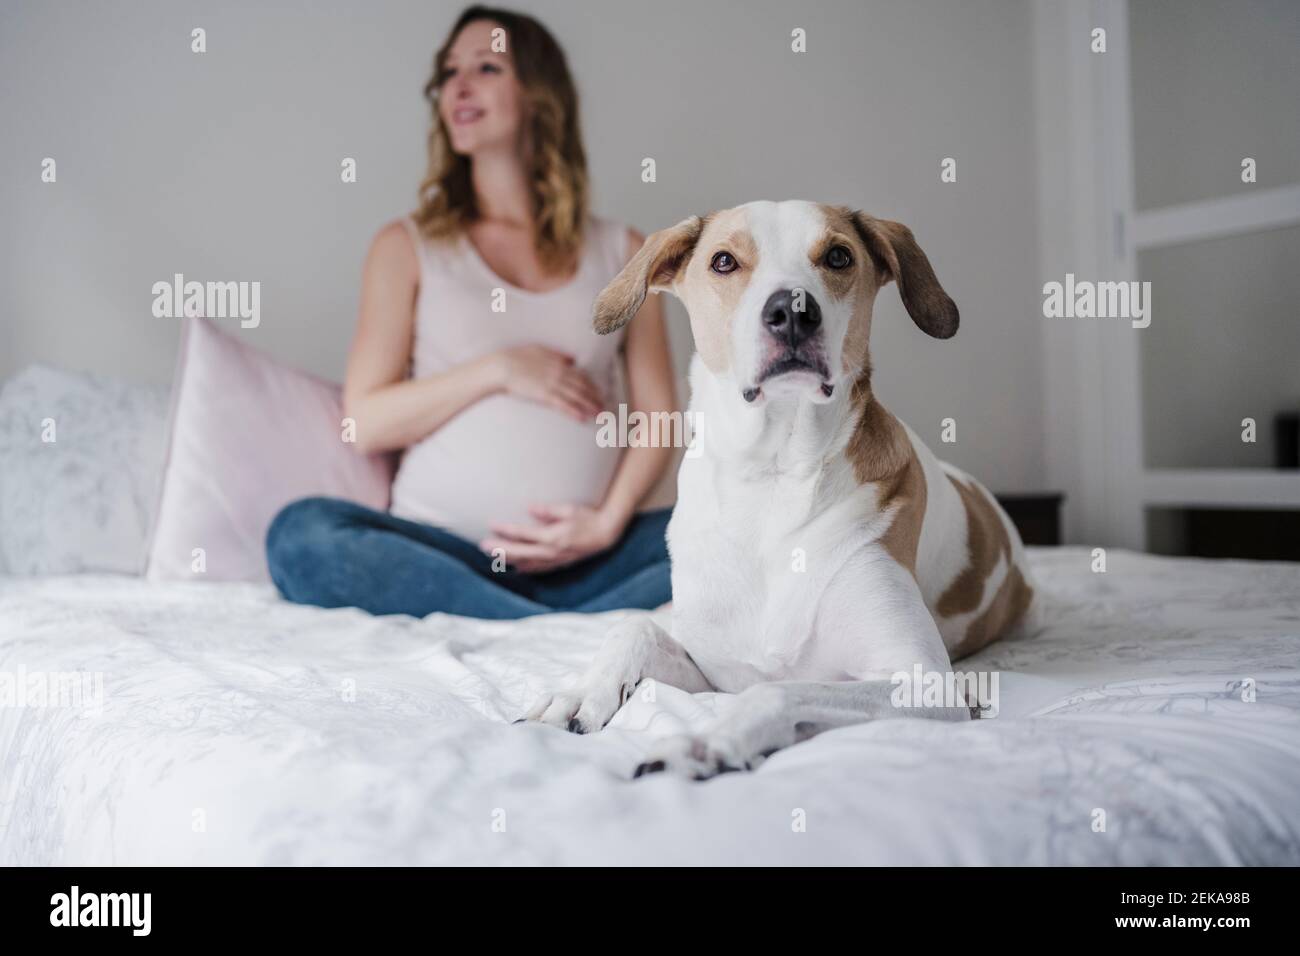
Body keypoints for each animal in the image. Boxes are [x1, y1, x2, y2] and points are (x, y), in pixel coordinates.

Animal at [517, 200, 1034, 780]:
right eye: (723, 261)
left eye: (838, 256)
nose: (792, 310)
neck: (770, 477)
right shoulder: (714, 667)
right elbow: (633, 629)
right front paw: (579, 693)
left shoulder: (924, 683)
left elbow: (779, 691)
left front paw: (703, 742)